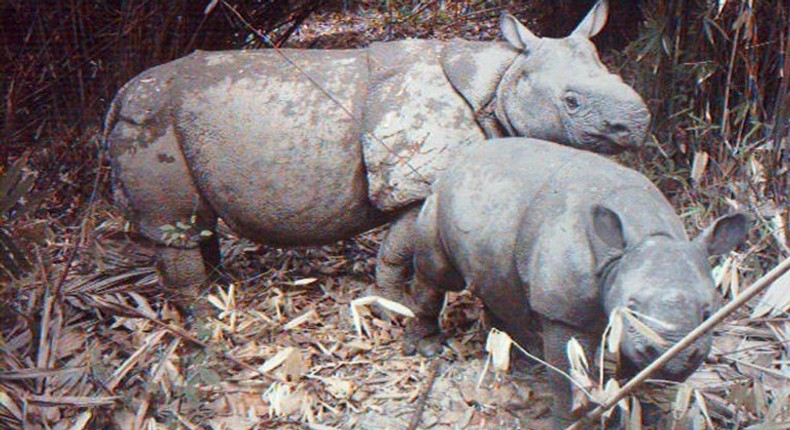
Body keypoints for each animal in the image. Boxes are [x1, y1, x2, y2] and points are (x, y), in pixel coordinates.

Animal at [105, 0, 648, 310]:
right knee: (172, 224)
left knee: (197, 222)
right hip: (151, 120)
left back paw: (219, 292)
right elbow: (400, 249)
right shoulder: (417, 184)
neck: (502, 79)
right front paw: (393, 305)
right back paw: (205, 317)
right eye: (571, 102)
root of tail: (119, 95)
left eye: (621, 77)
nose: (638, 122)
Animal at [412, 139, 752, 428]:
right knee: (439, 273)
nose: (676, 357)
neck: (645, 236)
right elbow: (568, 377)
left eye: (708, 313)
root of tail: (460, 157)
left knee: (497, 281)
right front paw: (573, 422)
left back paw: (516, 351)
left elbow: (632, 370)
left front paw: (636, 411)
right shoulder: (564, 313)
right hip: (440, 200)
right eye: (632, 307)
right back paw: (428, 347)